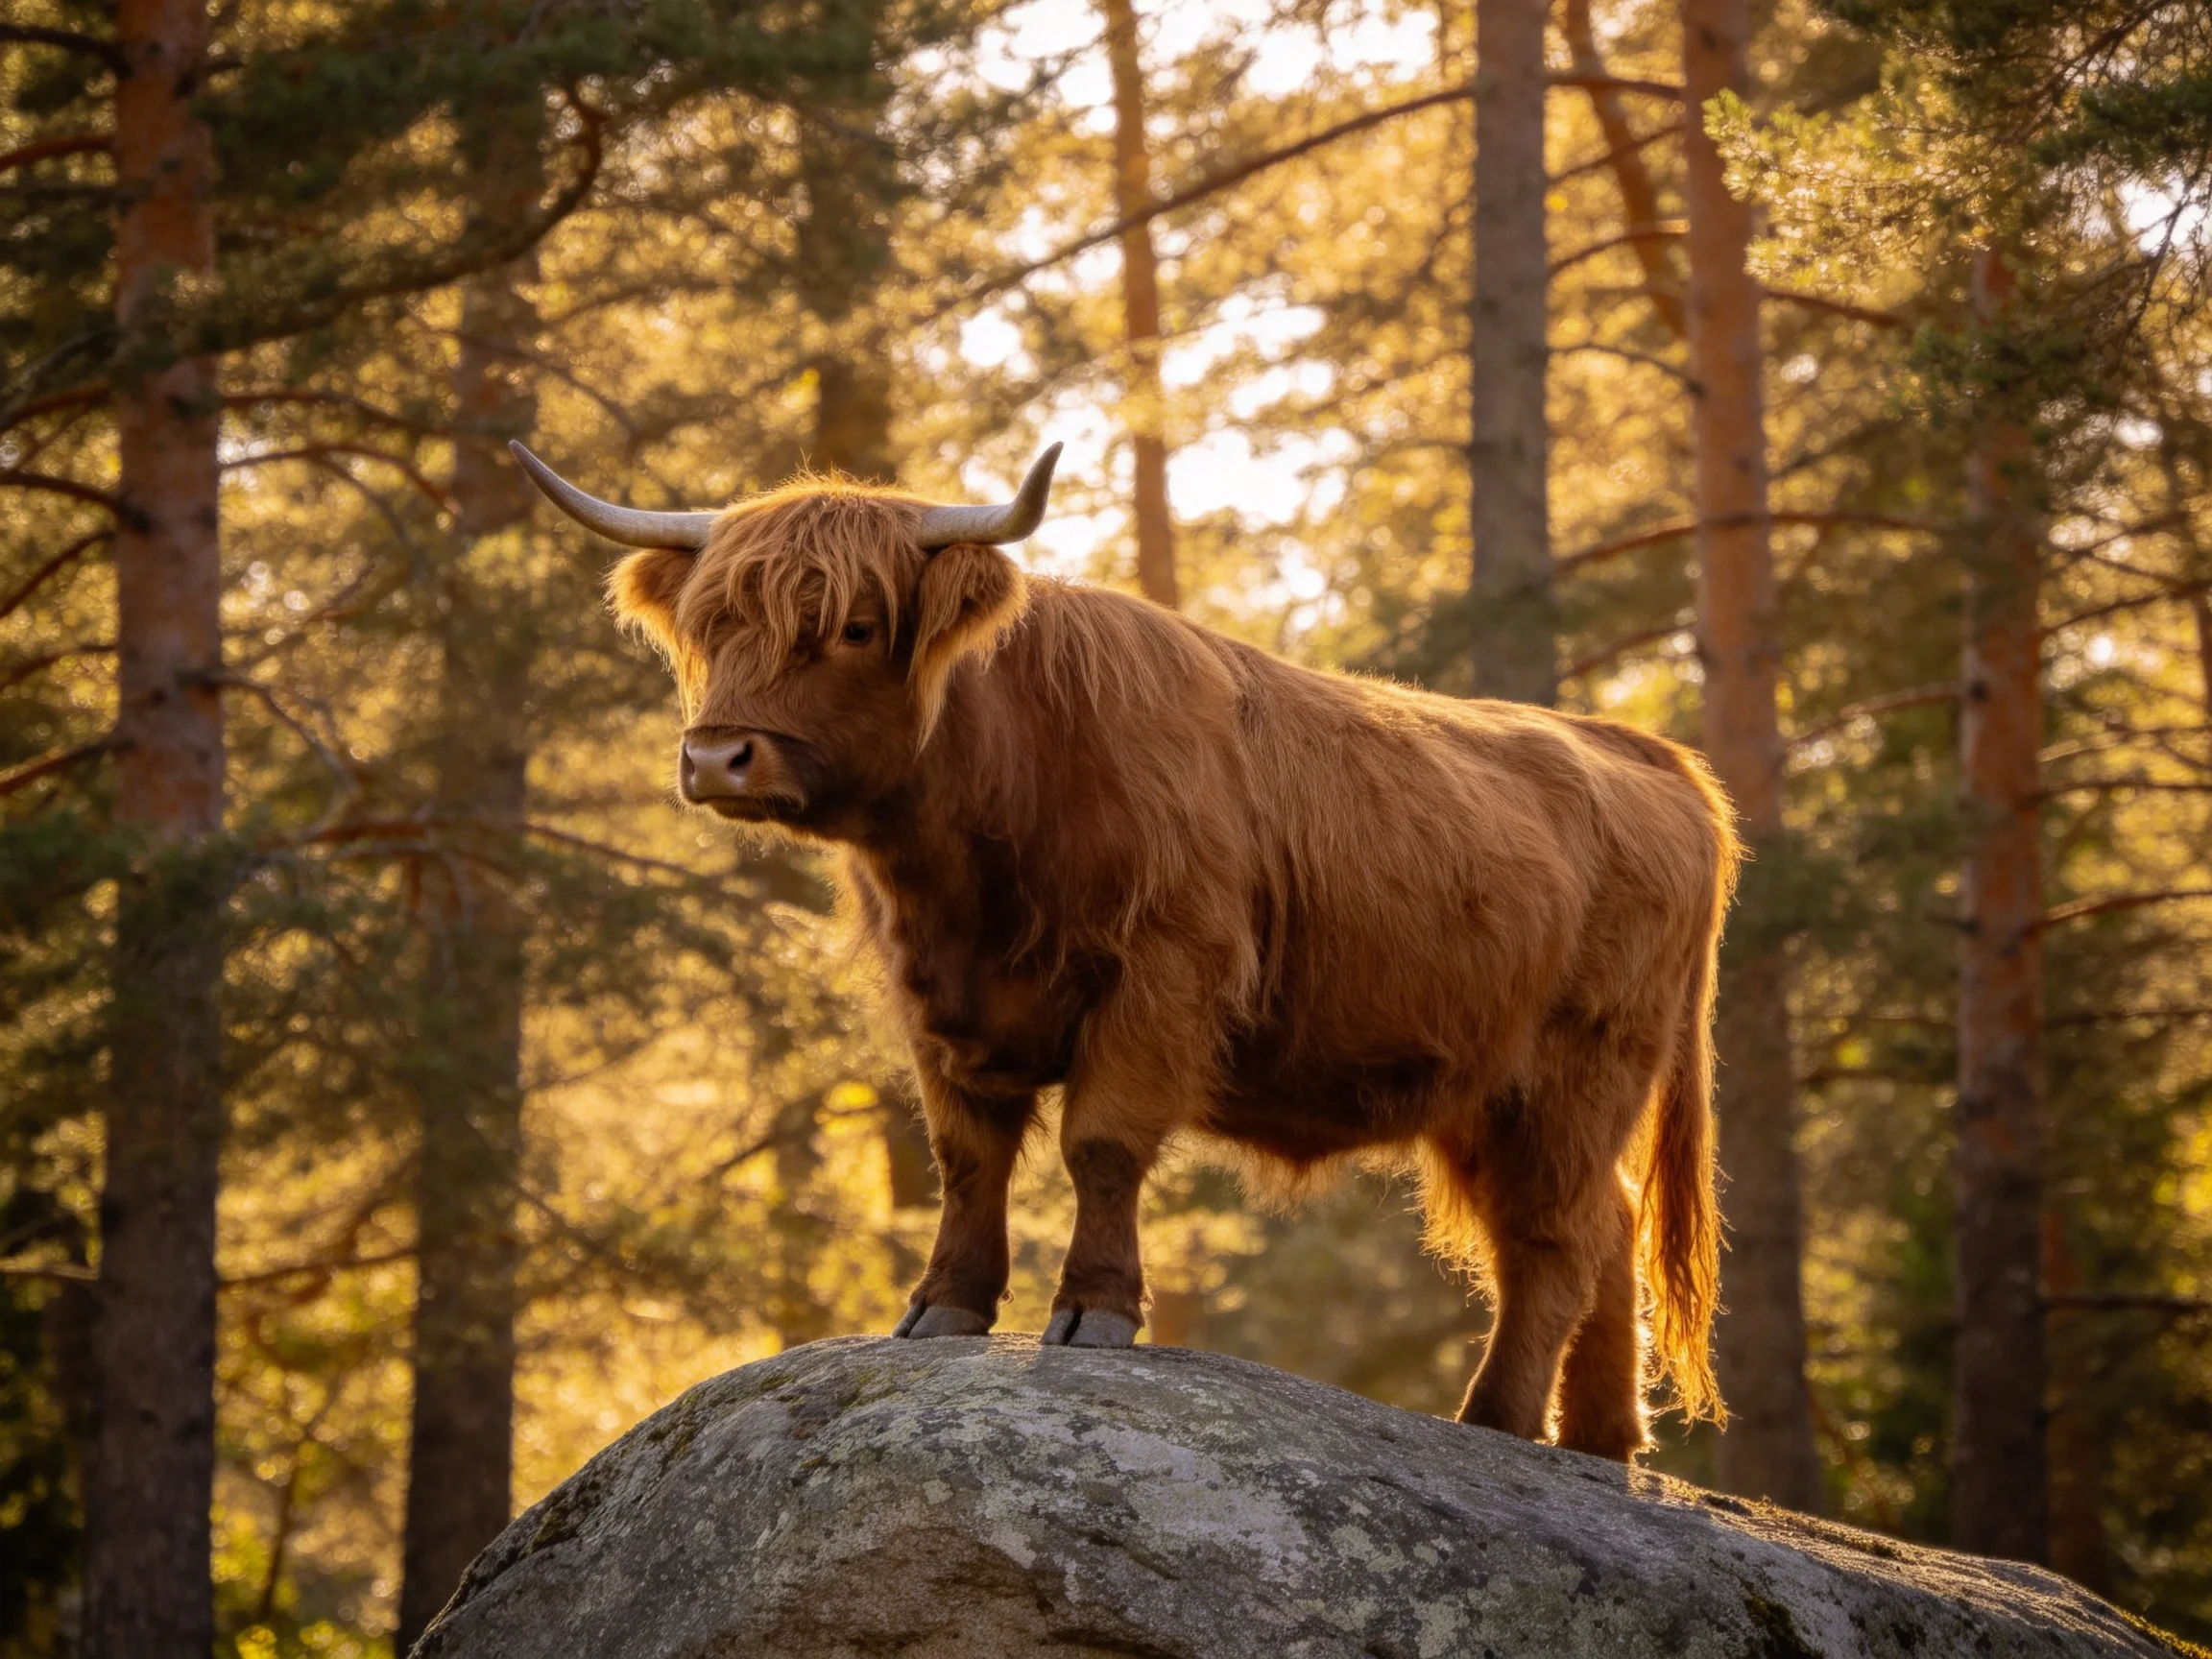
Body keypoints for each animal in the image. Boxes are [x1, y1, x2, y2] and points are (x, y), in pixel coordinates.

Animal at [511, 439, 1739, 1460]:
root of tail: (1646, 752)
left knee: (1553, 1237)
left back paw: (1497, 1420)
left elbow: (1099, 1146)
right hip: (1493, 1094)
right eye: (713, 626)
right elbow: (968, 1156)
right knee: (1607, 1224)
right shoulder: (940, 1000)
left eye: (854, 626)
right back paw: (1602, 1442)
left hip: (1578, 1069)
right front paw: (943, 1305)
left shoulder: (1160, 976)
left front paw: (1094, 1308)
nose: (719, 758)